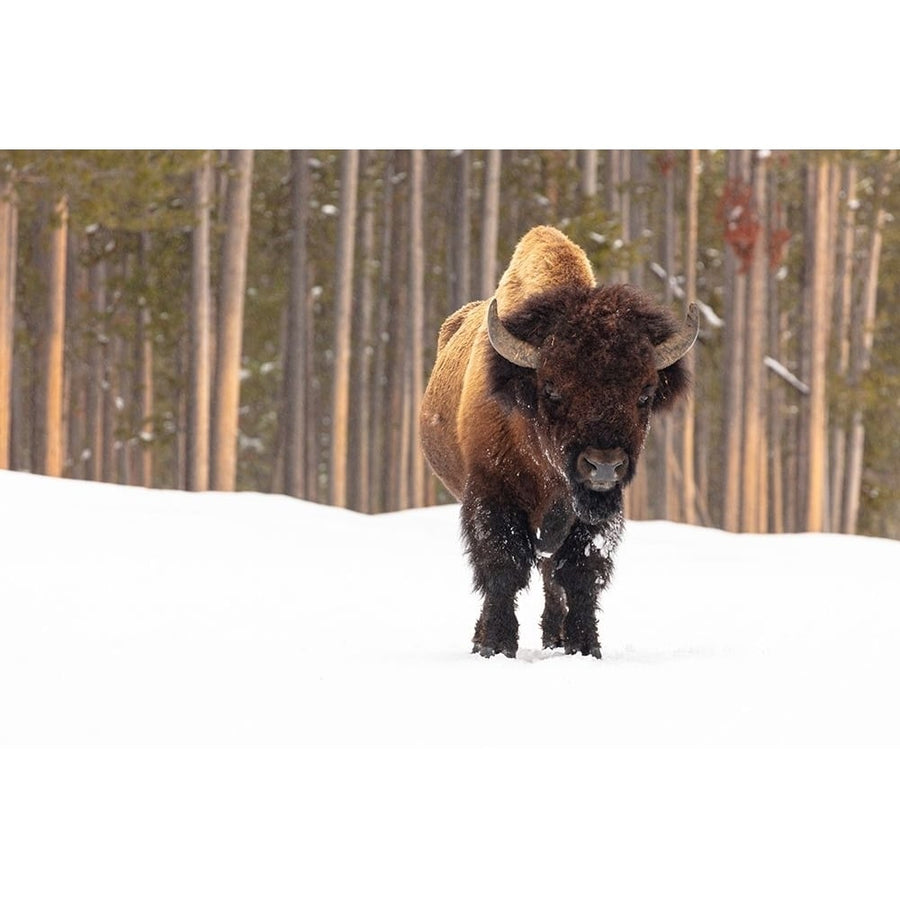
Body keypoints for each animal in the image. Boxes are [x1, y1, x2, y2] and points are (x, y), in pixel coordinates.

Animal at [418, 225, 700, 660]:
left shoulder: (592, 514)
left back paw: (554, 637)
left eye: (645, 392)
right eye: (551, 389)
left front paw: (584, 647)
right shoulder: (491, 493)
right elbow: (502, 567)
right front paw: (496, 645)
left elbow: (580, 572)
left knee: (552, 576)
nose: (604, 465)